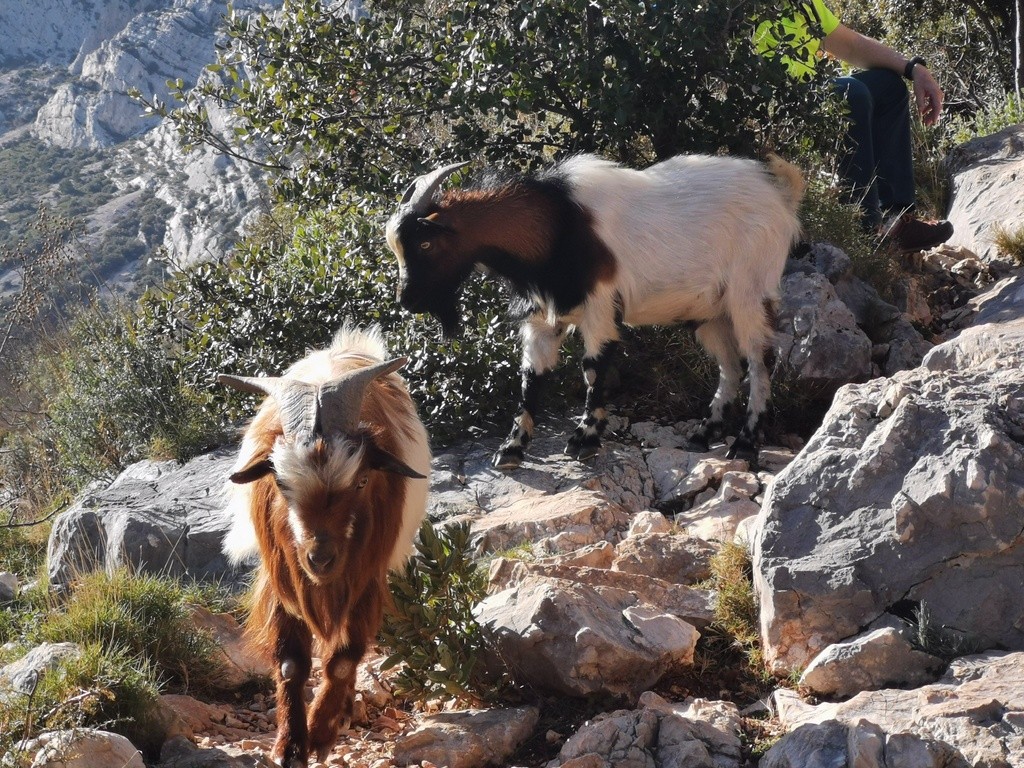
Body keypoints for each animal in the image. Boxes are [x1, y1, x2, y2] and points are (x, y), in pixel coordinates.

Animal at [222, 325, 430, 768]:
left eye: (362, 481)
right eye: (281, 483)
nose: (320, 559)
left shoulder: (366, 576)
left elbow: (343, 661)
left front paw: (321, 732)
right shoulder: (283, 578)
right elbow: (290, 665)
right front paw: (290, 746)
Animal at [387, 153, 802, 466]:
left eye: (425, 244)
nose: (407, 300)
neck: (556, 226)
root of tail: (779, 193)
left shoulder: (600, 307)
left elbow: (593, 368)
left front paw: (584, 438)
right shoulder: (543, 319)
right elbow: (530, 378)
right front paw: (512, 448)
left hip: (748, 295)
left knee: (758, 361)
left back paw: (745, 445)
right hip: (709, 312)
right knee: (729, 367)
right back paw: (703, 433)